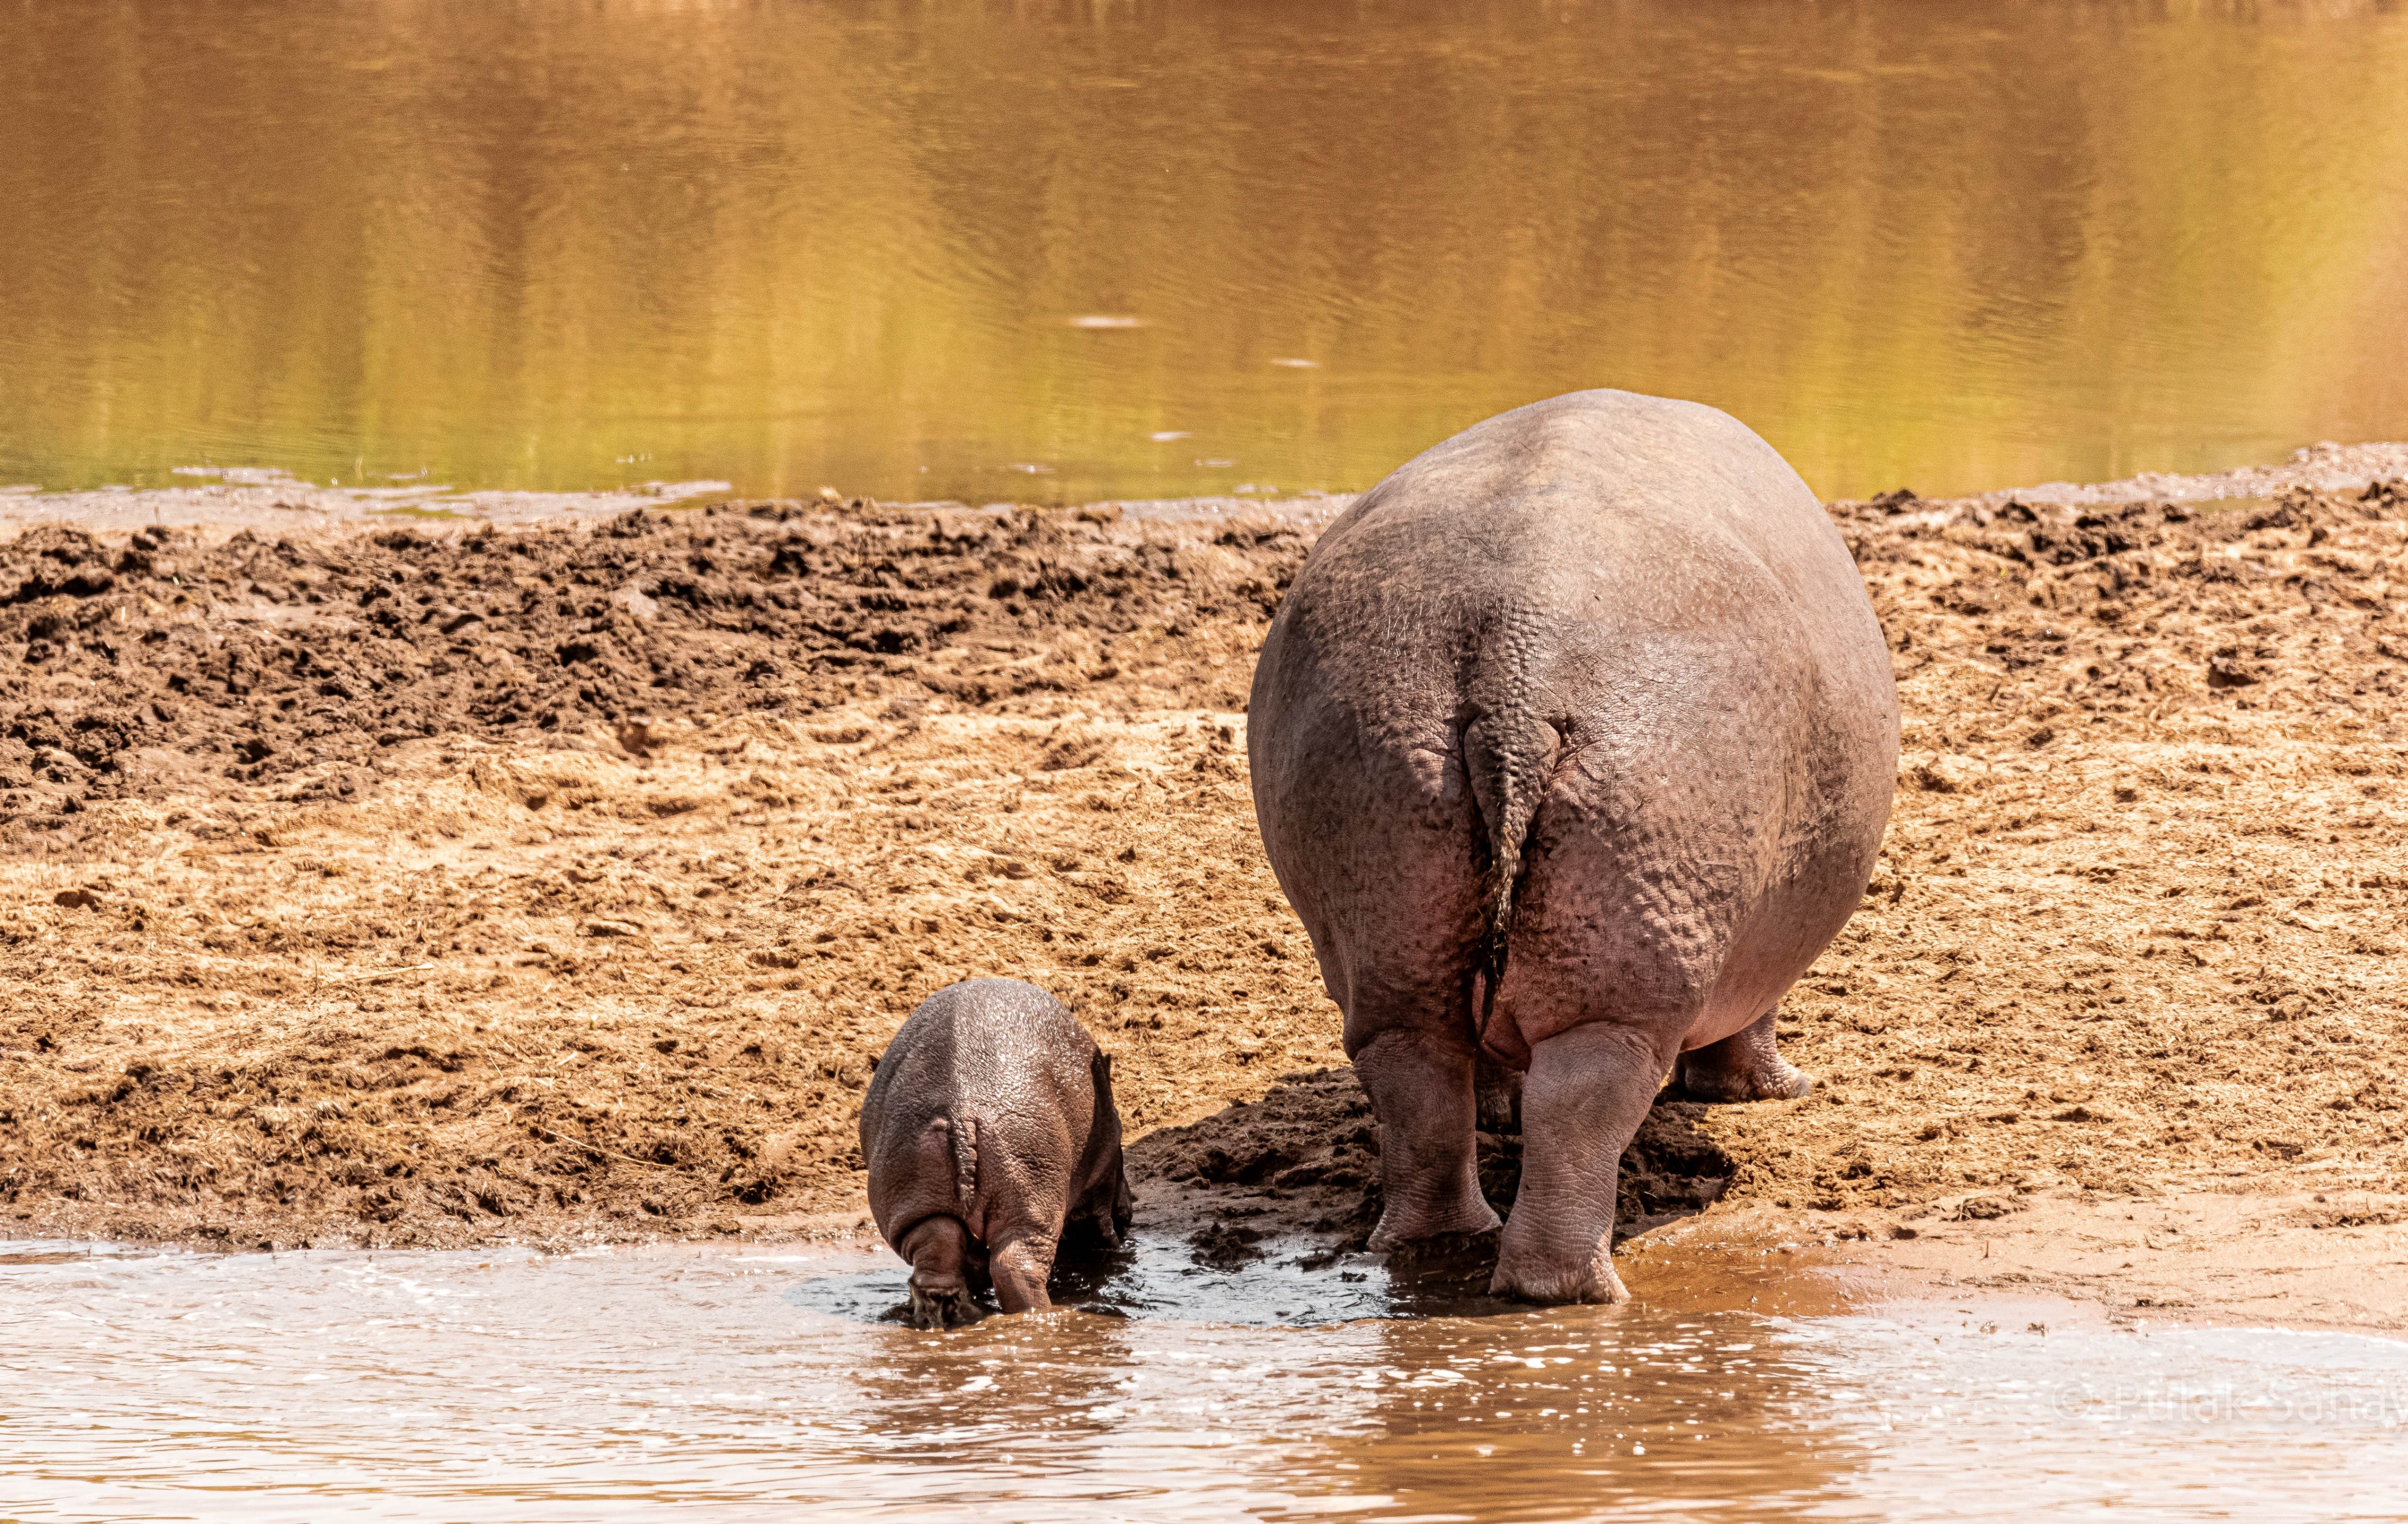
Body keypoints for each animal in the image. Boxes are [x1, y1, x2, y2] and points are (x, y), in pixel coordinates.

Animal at [859, 978, 1133, 1328]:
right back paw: (1042, 1316)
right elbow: (1097, 1219)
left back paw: (948, 1317)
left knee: (937, 1261)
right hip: (1031, 1205)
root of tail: (960, 1111)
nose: (1129, 1211)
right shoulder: (1104, 1167)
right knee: (1017, 1268)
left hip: (914, 1204)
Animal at [1247, 390, 1898, 1303]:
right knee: (1582, 1108)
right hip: (1626, 979)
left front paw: (1497, 1111)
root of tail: (1514, 682)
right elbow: (1755, 1016)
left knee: (1420, 1087)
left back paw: (1439, 1243)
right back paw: (1573, 1289)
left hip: (1390, 907)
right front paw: (1774, 1091)